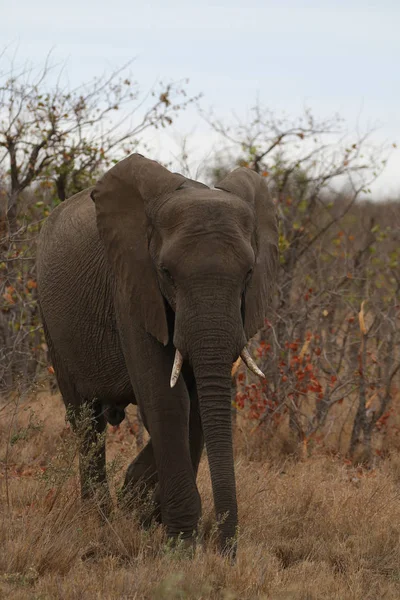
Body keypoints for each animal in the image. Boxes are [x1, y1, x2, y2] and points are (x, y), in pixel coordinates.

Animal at [36, 152, 278, 556]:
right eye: (166, 272)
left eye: (248, 273)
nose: (227, 554)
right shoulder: (131, 285)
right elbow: (167, 401)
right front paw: (181, 545)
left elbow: (196, 407)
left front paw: (143, 511)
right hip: (51, 320)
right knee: (85, 419)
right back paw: (98, 521)